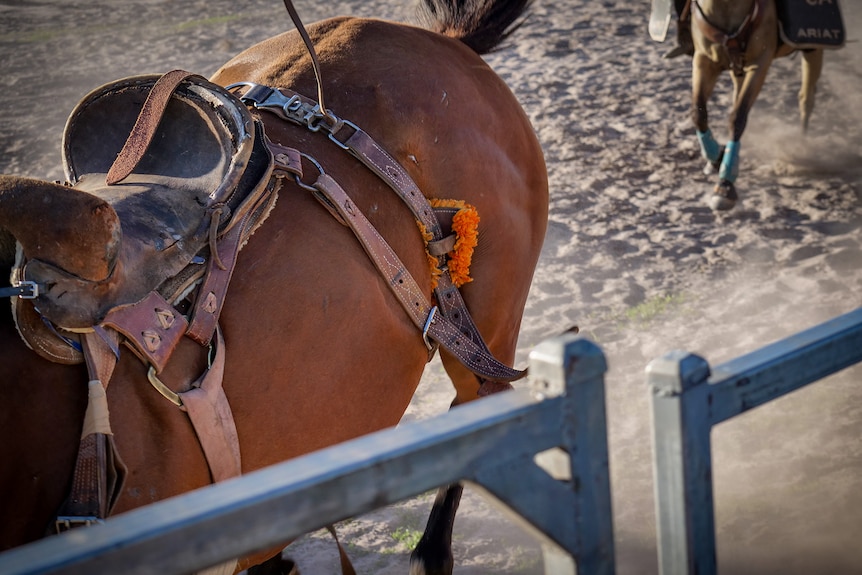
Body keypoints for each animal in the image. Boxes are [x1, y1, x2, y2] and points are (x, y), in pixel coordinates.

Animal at [687, 0, 826, 210]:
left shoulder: (760, 62)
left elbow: (737, 117)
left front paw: (725, 185)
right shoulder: (704, 58)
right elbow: (699, 113)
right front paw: (717, 158)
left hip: (813, 48)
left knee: (806, 98)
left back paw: (801, 147)